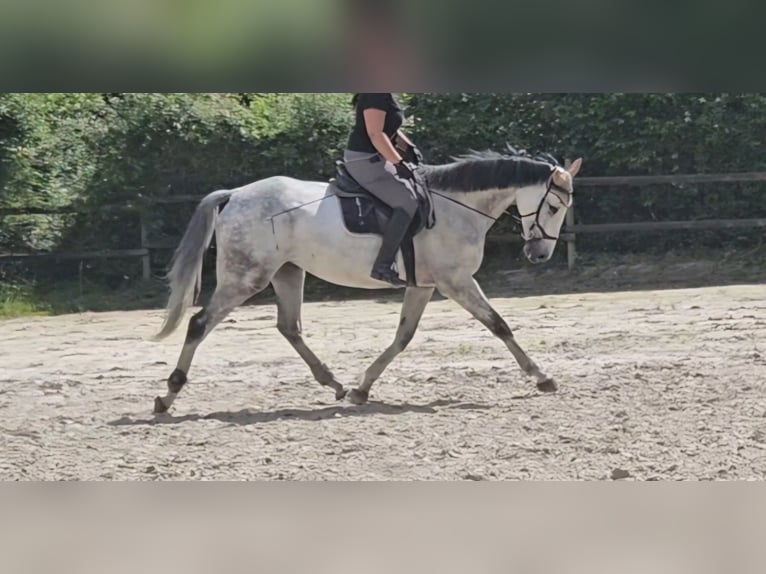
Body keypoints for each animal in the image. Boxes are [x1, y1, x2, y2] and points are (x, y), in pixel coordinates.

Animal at [150, 148, 584, 414]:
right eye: (553, 205)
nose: (538, 255)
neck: (456, 207)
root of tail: (236, 195)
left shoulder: (423, 285)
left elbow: (403, 337)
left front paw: (362, 389)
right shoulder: (456, 281)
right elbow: (499, 325)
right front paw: (542, 377)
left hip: (288, 272)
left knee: (289, 327)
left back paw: (335, 384)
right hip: (246, 277)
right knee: (199, 323)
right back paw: (168, 395)